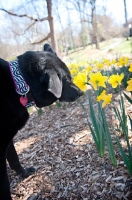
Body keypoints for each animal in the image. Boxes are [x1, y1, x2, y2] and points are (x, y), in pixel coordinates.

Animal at [0, 44, 82, 200]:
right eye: (65, 80)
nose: (81, 92)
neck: (20, 86)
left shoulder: (7, 140)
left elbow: (14, 159)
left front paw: (25, 173)